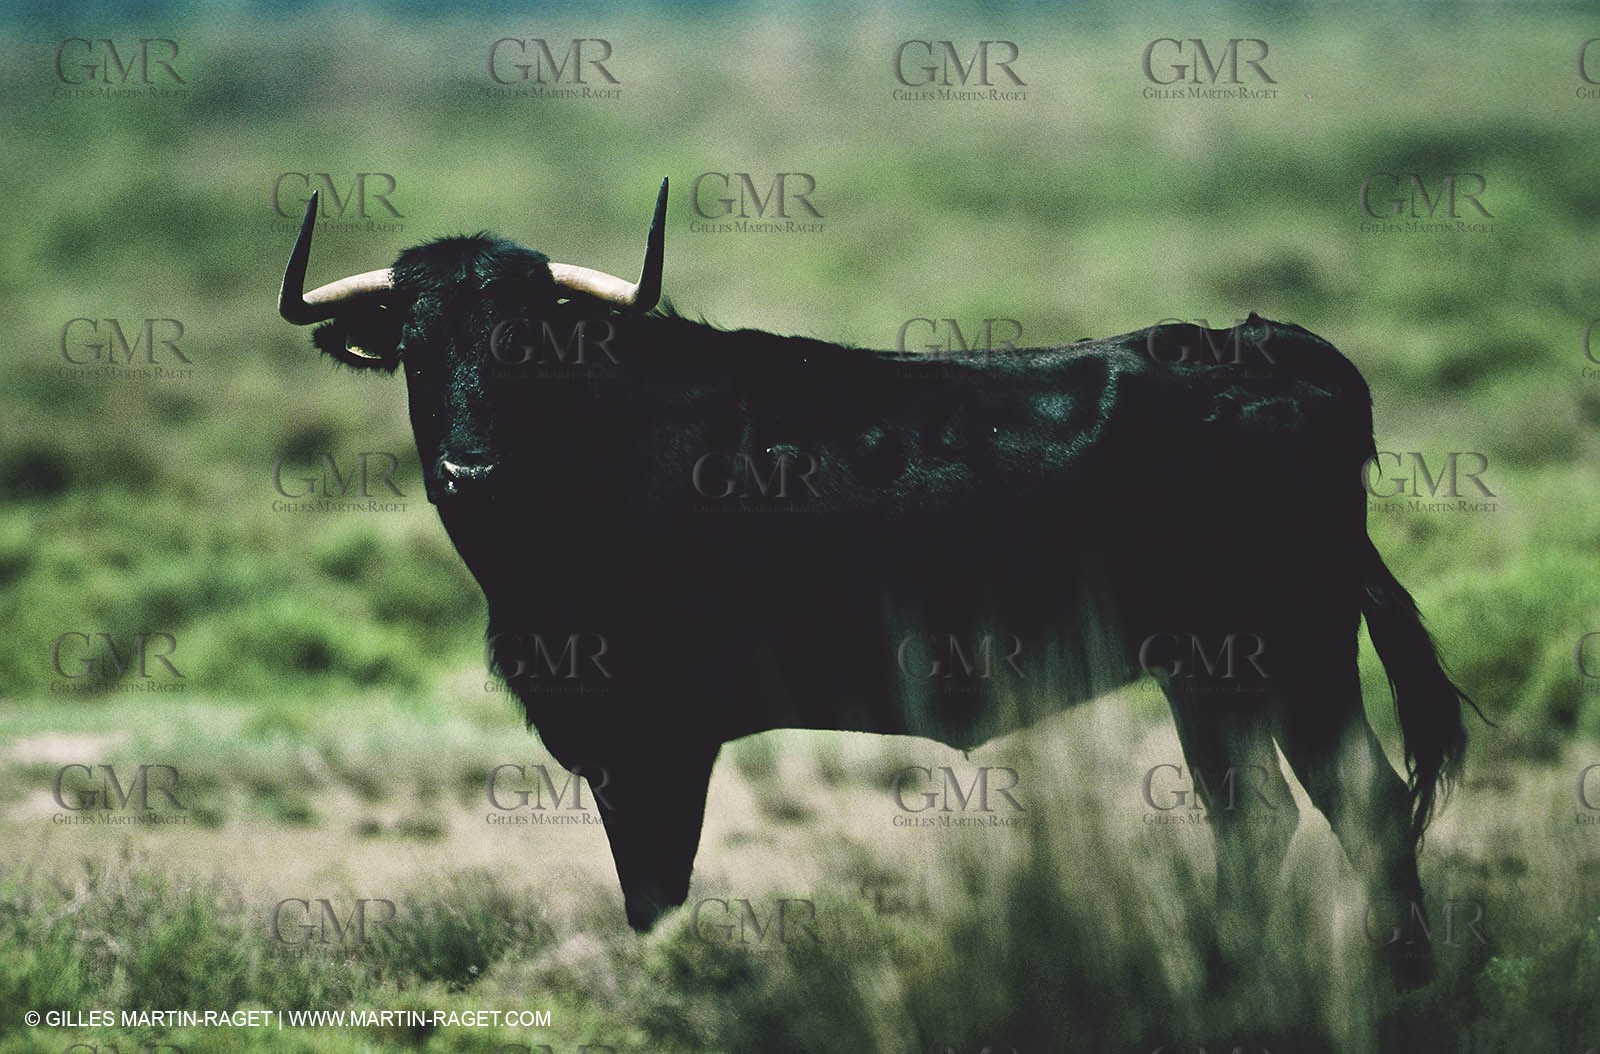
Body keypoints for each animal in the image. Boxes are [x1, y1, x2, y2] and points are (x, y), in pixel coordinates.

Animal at [277, 178, 1471, 988]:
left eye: (530, 343)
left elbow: (655, 897)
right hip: (1224, 672)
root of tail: (1266, 345)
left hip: (1280, 651)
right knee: (1281, 813)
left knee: (1343, 807)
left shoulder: (654, 738)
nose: (468, 468)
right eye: (417, 347)